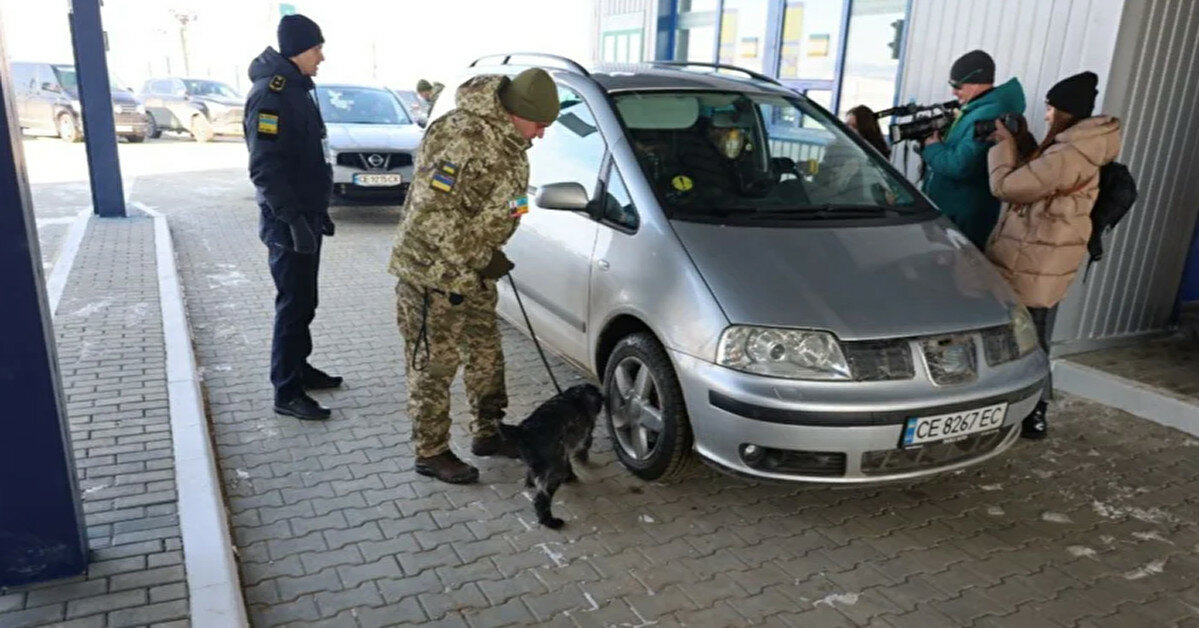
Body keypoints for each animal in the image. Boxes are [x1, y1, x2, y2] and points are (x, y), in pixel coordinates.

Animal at [498, 385, 604, 527]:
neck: (576, 395)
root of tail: (523, 430)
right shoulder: (582, 438)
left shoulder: (563, 449)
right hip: (555, 471)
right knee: (541, 500)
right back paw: (550, 521)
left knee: (532, 475)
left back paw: (531, 483)